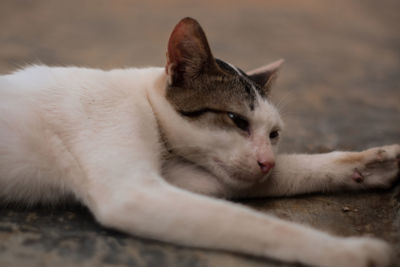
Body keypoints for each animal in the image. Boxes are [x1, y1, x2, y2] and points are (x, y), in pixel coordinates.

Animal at [0, 17, 400, 267]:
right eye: (237, 120)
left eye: (274, 135)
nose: (266, 162)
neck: (144, 102)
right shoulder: (133, 193)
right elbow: (255, 224)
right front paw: (351, 253)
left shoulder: (193, 179)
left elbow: (291, 171)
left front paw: (370, 166)